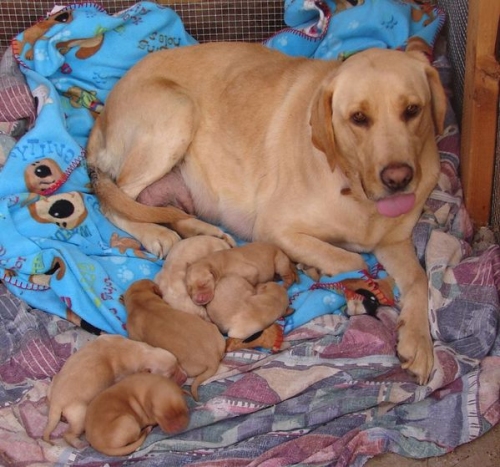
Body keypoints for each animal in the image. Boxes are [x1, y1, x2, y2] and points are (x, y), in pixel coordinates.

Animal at [42, 334, 184, 448]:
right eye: (170, 374)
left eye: (178, 363)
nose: (185, 376)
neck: (137, 351)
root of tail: (56, 403)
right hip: (80, 415)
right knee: (68, 434)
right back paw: (79, 443)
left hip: (52, 387)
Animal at [85, 43, 446, 384]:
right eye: (358, 118)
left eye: (412, 110)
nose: (398, 179)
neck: (354, 190)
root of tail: (102, 115)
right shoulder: (274, 229)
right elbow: (353, 259)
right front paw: (330, 269)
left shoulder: (394, 242)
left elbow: (418, 278)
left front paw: (418, 342)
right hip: (178, 112)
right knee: (113, 200)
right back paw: (156, 234)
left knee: (161, 209)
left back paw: (203, 231)